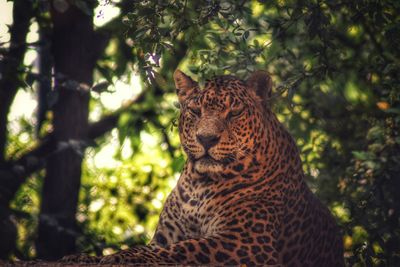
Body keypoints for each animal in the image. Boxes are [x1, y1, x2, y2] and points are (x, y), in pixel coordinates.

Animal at [61, 70, 344, 266]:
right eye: (196, 111)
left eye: (234, 112)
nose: (206, 139)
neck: (201, 181)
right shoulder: (165, 236)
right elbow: (159, 248)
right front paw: (84, 257)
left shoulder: (247, 241)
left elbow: (186, 249)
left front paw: (122, 257)